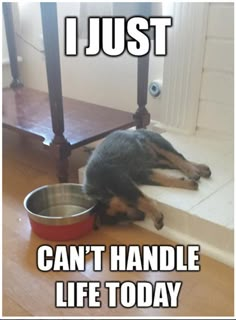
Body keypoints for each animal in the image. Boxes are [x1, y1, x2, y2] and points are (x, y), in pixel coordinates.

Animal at [82, 129, 210, 231]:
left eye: (122, 213)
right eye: (120, 219)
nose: (142, 217)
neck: (99, 185)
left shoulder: (120, 180)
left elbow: (139, 199)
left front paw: (157, 217)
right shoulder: (141, 174)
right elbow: (164, 179)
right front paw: (187, 183)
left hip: (158, 143)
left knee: (177, 156)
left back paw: (192, 171)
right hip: (156, 161)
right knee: (174, 162)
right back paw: (201, 169)